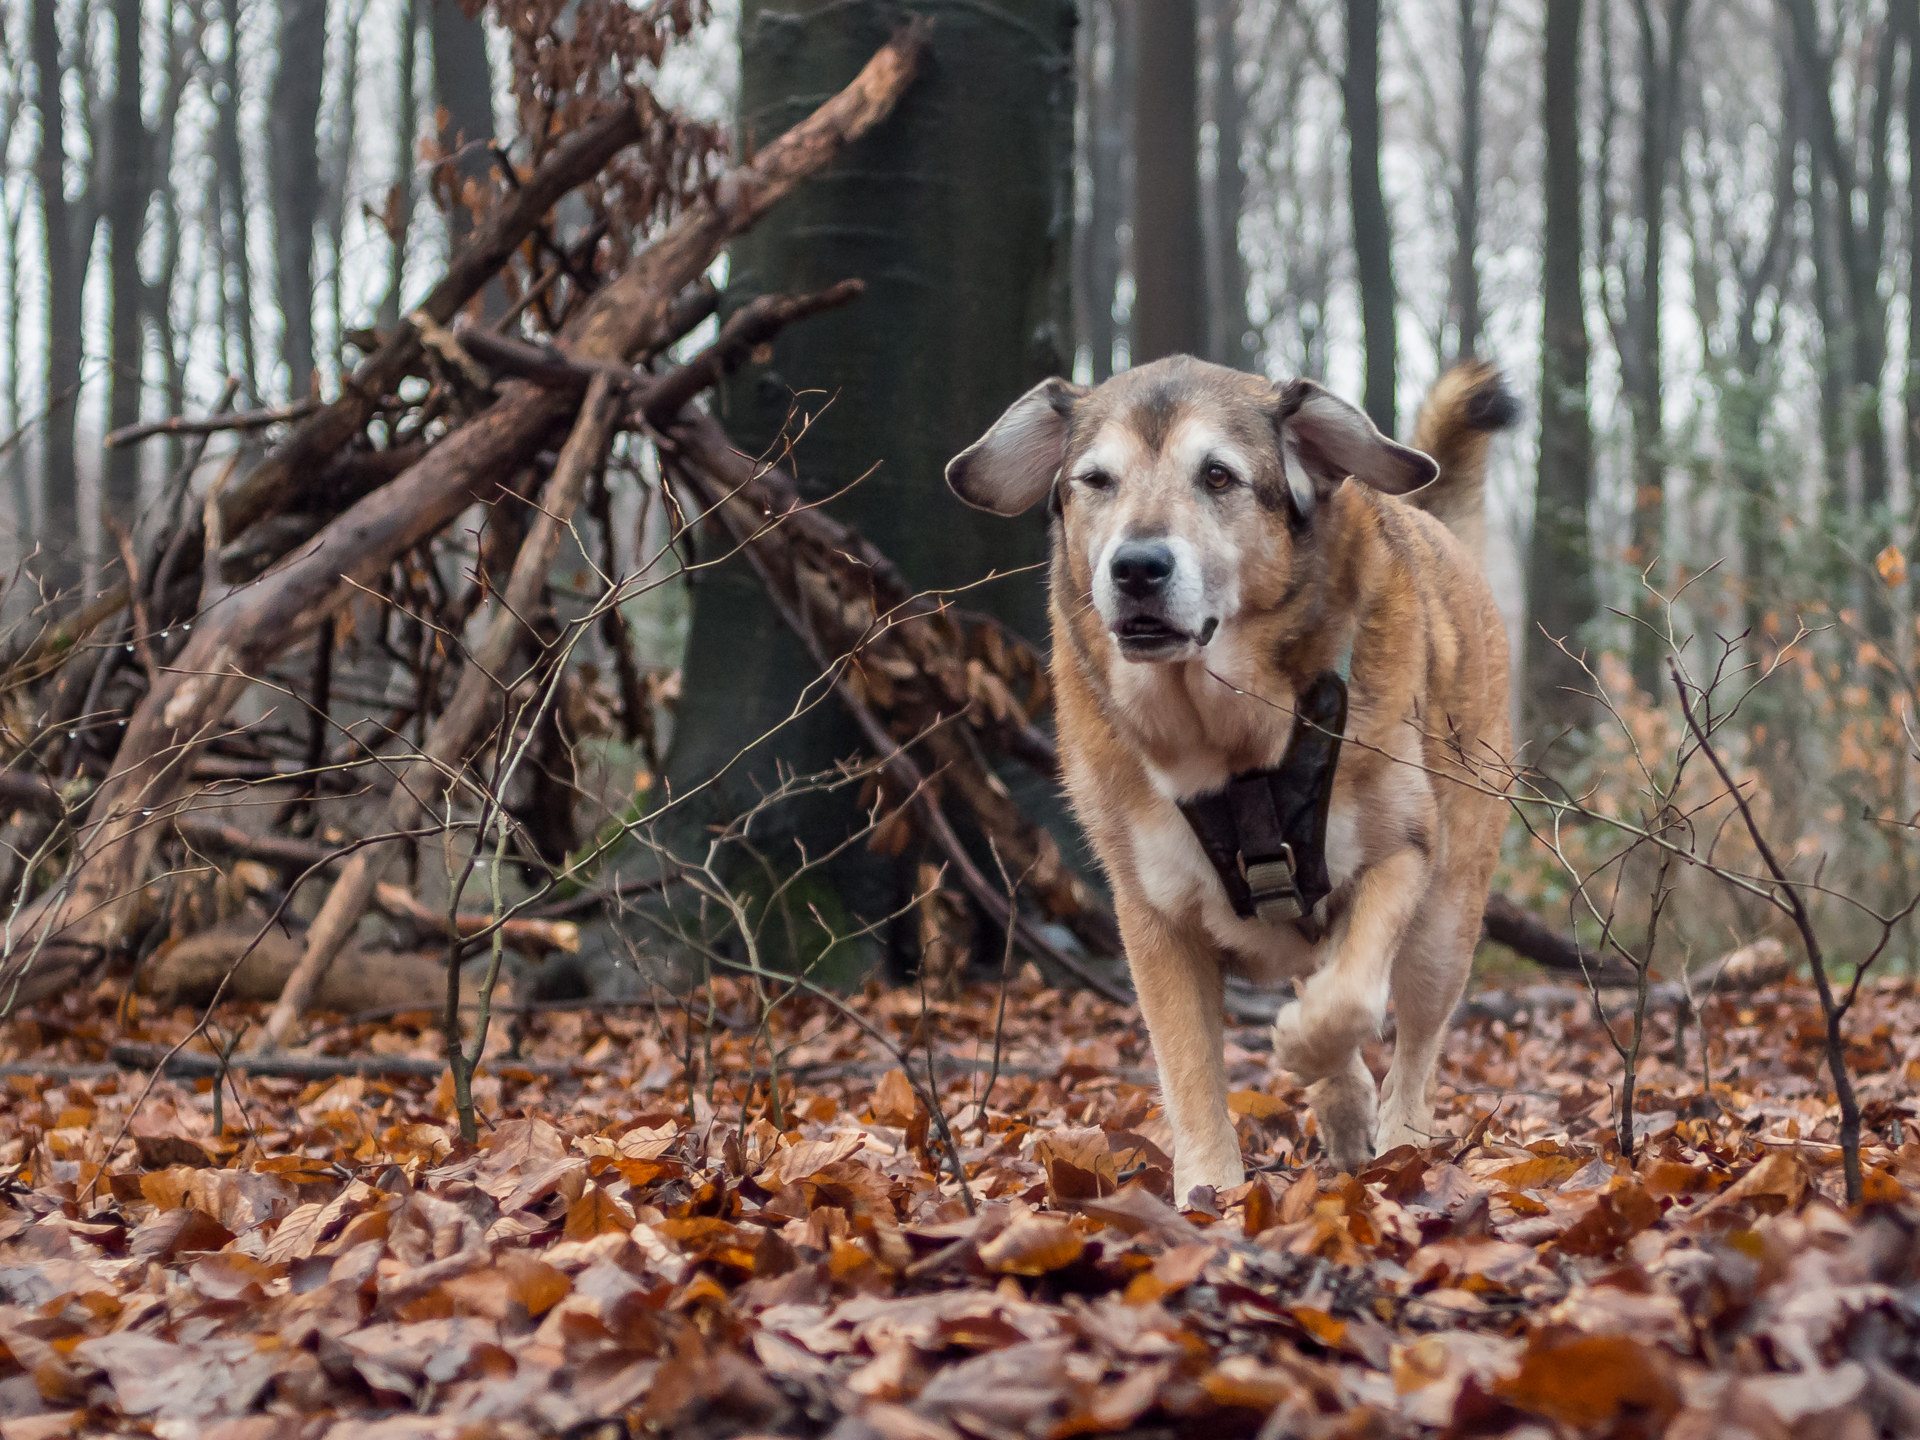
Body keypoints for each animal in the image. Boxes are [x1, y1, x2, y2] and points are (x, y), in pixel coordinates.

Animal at [944, 355, 1512, 1198]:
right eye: (1095, 480)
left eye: (1218, 476)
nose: (1137, 567)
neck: (1226, 747)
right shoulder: (1155, 919)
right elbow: (1188, 1069)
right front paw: (1207, 1192)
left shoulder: (1398, 854)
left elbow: (1349, 1000)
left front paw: (1305, 1048)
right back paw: (1346, 1109)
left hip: (1444, 921)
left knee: (1413, 1041)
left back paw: (1401, 1140)